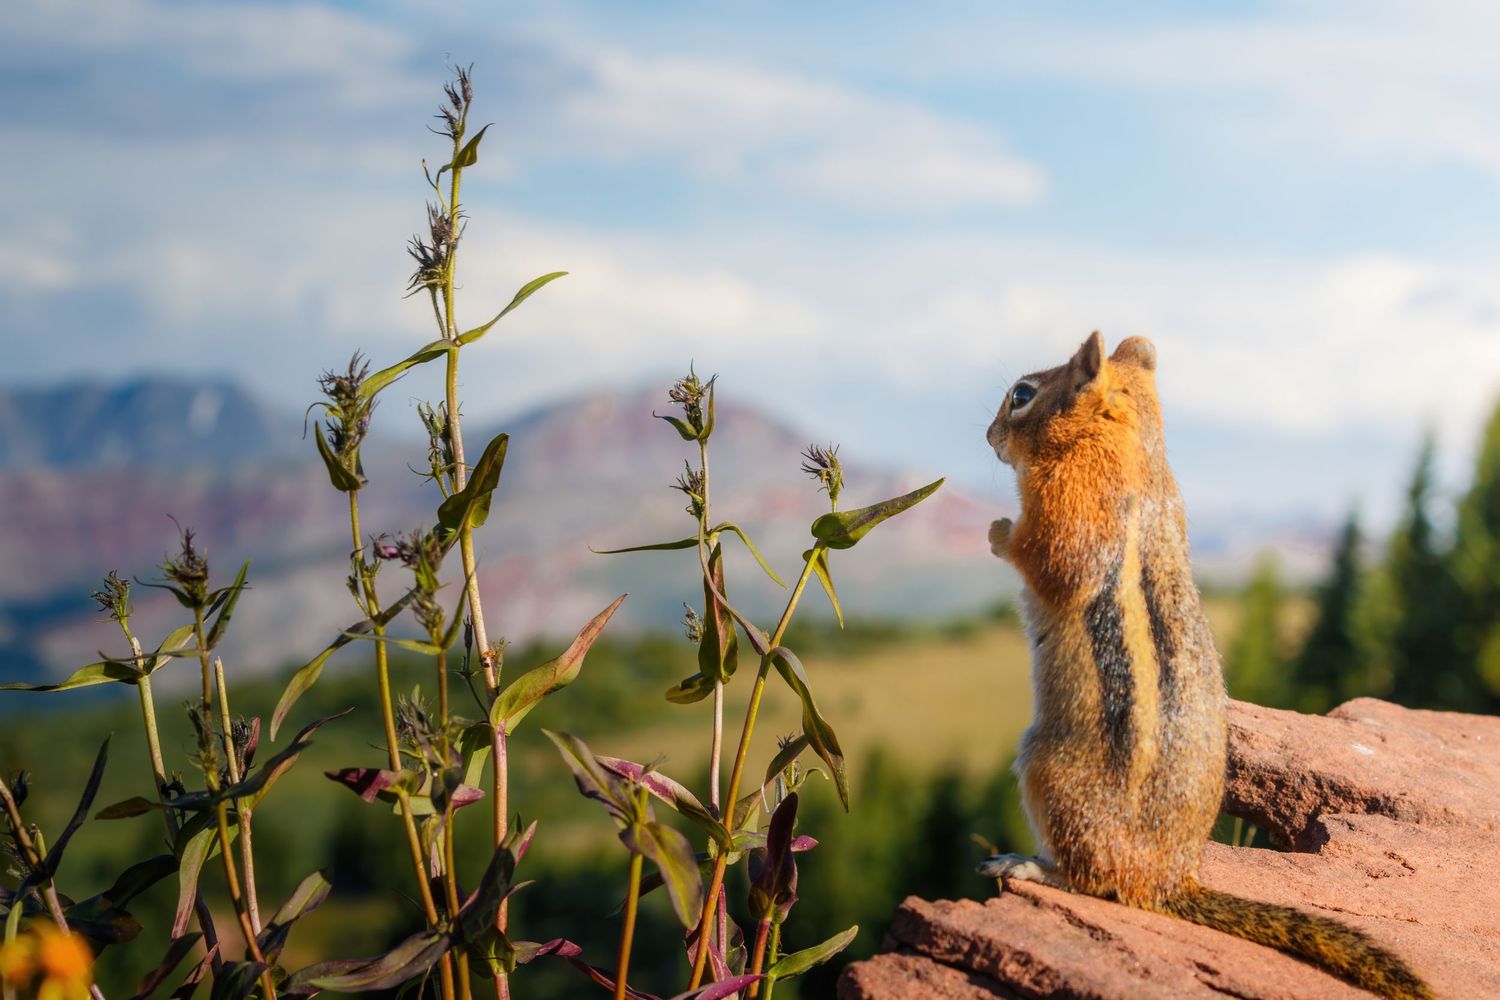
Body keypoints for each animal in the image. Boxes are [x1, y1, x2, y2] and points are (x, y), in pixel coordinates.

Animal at [980, 331, 1432, 1000]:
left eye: (1021, 394)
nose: (988, 435)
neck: (1132, 444)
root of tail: (1170, 882)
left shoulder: (1072, 508)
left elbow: (1039, 555)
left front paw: (995, 528)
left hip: (1044, 767)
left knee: (1096, 885)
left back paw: (1027, 865)